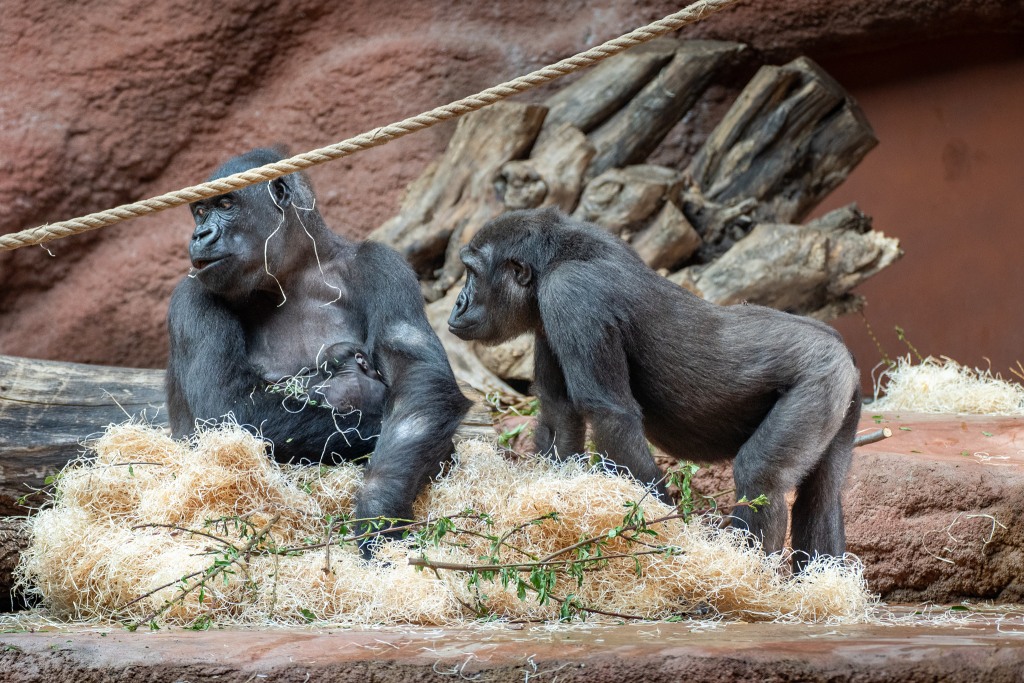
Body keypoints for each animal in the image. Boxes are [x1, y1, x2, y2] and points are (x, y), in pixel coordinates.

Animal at [167, 149, 471, 544]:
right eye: (201, 211)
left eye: (226, 204)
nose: (200, 233)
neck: (293, 273)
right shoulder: (193, 294)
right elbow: (227, 405)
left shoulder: (383, 265)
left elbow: (419, 376)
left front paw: (380, 501)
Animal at [452, 205, 860, 569]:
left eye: (472, 272)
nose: (458, 303)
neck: (552, 260)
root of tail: (842, 350)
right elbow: (559, 417)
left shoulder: (572, 295)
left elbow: (612, 416)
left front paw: (660, 535)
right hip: (840, 391)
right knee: (821, 496)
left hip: (818, 377)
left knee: (762, 477)